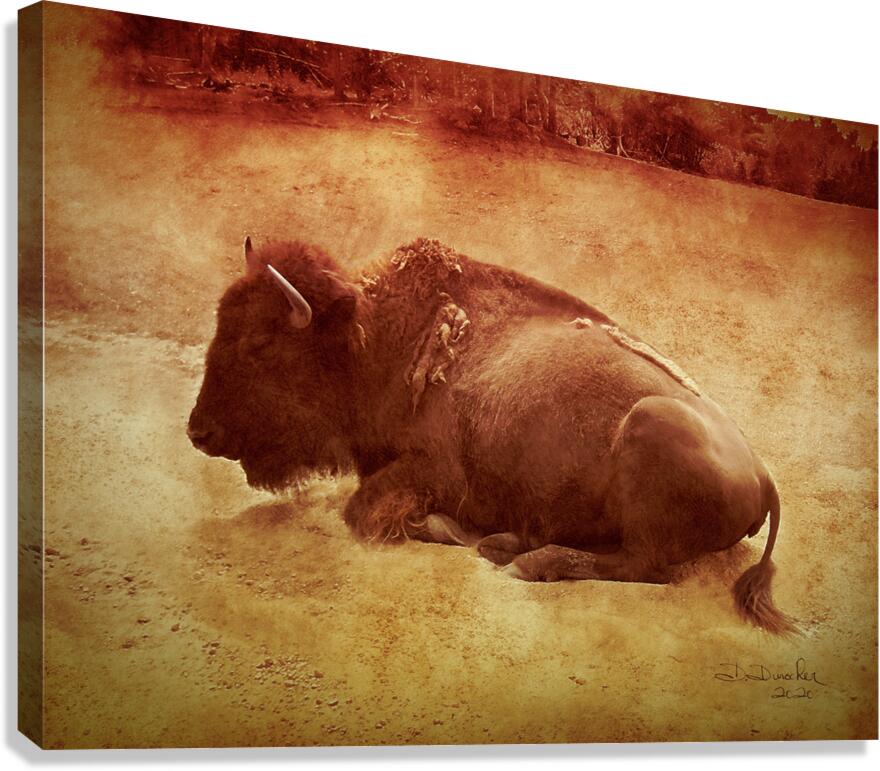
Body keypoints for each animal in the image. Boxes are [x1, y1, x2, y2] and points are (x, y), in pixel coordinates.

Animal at [188, 236, 796, 634]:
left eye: (260, 344)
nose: (198, 431)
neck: (371, 341)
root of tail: (764, 475)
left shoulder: (433, 470)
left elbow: (361, 511)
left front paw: (438, 528)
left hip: (649, 430)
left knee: (644, 567)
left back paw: (527, 559)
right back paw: (508, 542)